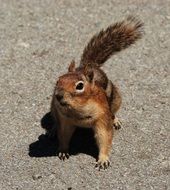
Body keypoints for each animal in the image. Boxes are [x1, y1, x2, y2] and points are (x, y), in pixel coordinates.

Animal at [47, 15, 143, 169]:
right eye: (58, 80)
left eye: (80, 86)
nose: (58, 95)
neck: (78, 110)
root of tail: (89, 65)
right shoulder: (65, 120)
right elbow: (64, 135)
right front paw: (63, 150)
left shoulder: (102, 116)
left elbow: (104, 137)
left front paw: (103, 159)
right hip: (53, 107)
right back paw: (53, 130)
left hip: (116, 100)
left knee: (113, 112)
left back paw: (115, 120)